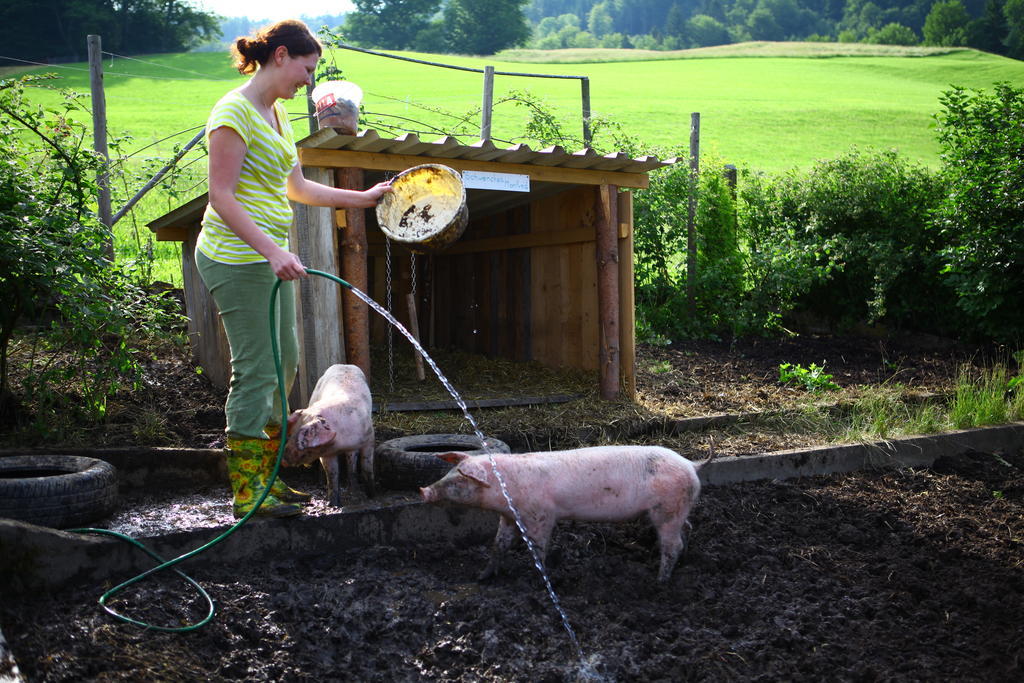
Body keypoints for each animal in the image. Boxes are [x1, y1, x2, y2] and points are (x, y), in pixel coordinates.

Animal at [282, 362, 374, 507]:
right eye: (289, 435)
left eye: (304, 447)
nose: (283, 461)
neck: (342, 441)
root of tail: (343, 364)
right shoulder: (327, 454)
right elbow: (332, 475)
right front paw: (334, 504)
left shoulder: (370, 437)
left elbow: (366, 466)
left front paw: (371, 496)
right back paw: (321, 482)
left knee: (352, 462)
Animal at [417, 446, 712, 585]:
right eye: (449, 473)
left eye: (459, 480)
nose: (423, 490)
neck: (505, 487)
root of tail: (691, 465)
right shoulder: (509, 516)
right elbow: (498, 545)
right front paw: (482, 577)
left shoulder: (541, 514)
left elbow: (538, 548)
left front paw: (538, 578)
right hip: (675, 509)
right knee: (687, 528)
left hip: (667, 509)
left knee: (673, 544)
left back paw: (659, 581)